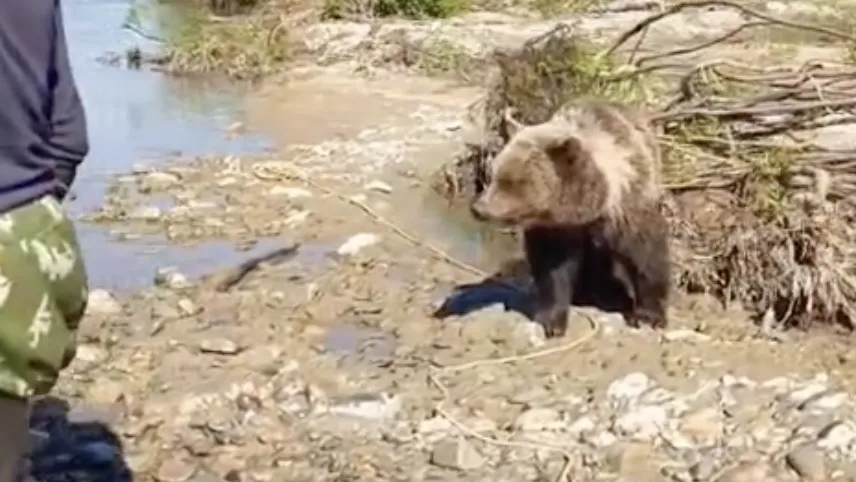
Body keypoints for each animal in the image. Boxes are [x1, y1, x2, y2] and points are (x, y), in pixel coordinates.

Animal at [469, 99, 671, 338]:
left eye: (512, 181)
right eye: (494, 175)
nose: (478, 208)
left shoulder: (627, 212)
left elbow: (647, 258)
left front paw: (648, 315)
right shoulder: (555, 229)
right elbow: (553, 271)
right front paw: (551, 320)